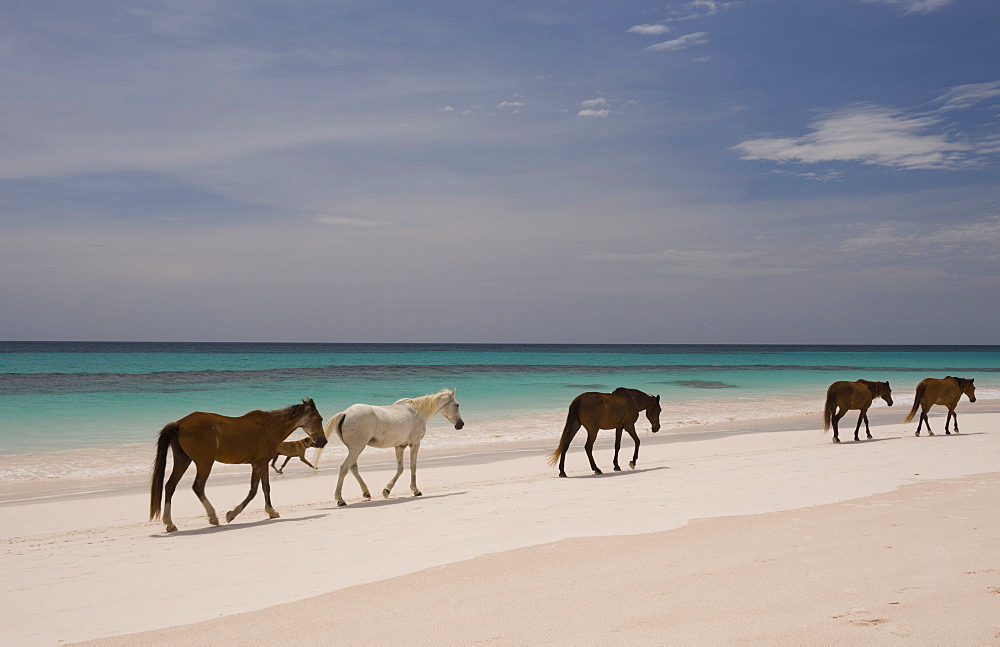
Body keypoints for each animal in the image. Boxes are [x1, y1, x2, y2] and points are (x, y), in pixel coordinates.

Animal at [150, 400, 326, 532]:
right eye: (319, 419)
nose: (323, 441)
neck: (271, 426)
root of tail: (179, 423)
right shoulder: (257, 464)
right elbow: (253, 491)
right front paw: (231, 514)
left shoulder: (263, 463)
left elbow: (266, 487)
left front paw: (272, 511)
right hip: (204, 462)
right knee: (198, 487)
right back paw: (213, 517)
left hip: (183, 460)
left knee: (170, 486)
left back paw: (170, 524)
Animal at [316, 390, 464, 506]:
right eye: (456, 405)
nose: (461, 424)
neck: (417, 412)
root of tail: (345, 413)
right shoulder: (415, 444)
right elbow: (413, 467)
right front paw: (415, 490)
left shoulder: (400, 447)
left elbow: (400, 469)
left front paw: (386, 490)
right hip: (356, 449)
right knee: (344, 468)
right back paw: (340, 499)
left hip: (354, 449)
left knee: (353, 468)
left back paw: (366, 493)